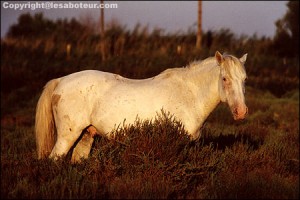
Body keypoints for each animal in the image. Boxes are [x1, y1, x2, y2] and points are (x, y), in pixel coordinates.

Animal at [35, 51, 248, 162]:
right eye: (225, 79)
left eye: (244, 79)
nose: (241, 112)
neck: (189, 93)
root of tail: (61, 81)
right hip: (67, 136)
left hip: (87, 134)